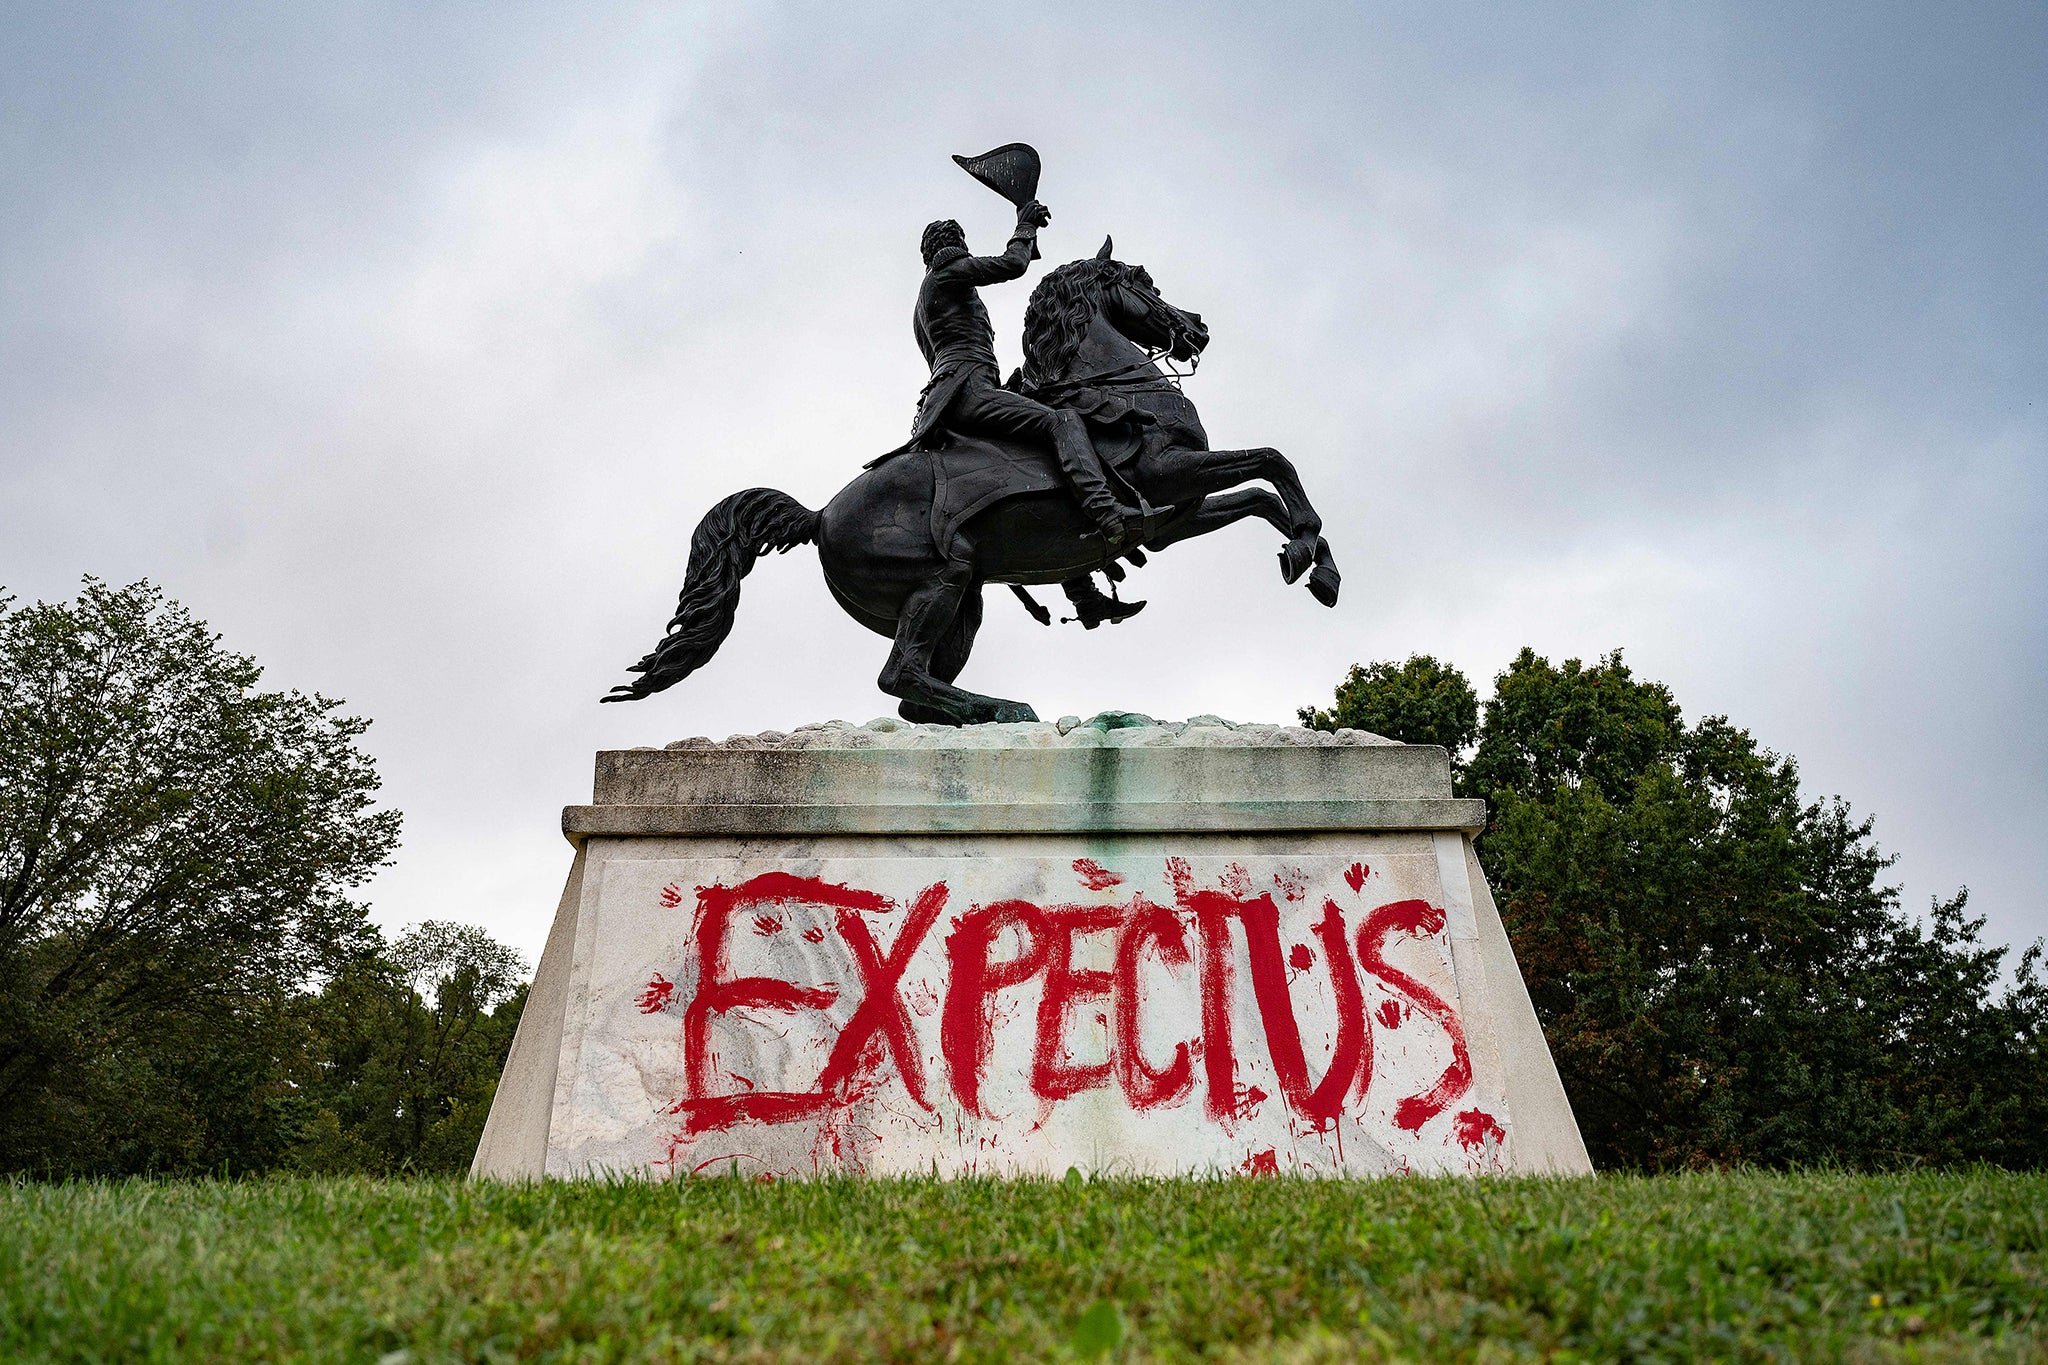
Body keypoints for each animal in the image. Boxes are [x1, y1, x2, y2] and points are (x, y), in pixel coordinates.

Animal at [602, 237, 1343, 724]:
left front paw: (1312, 564)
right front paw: (1309, 547)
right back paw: (1004, 707)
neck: (1119, 385)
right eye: (1144, 280)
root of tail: (818, 517)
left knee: (913, 692)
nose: (1197, 328)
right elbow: (1274, 461)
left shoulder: (1175, 516)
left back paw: (982, 712)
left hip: (964, 605)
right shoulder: (1166, 479)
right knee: (900, 674)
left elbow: (1261, 496)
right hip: (942, 580)